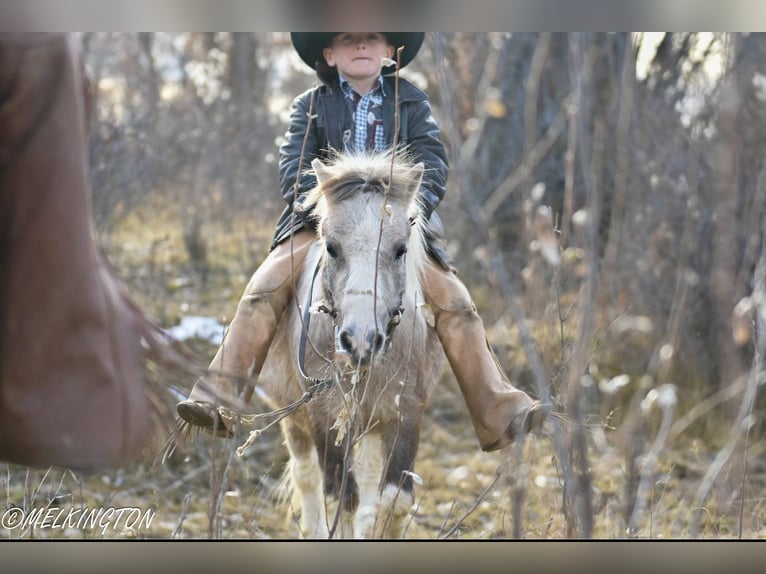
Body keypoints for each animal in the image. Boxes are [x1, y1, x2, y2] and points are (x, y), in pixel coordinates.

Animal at [260, 150, 448, 540]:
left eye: (400, 249)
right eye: (331, 247)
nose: (360, 340)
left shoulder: (404, 414)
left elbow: (392, 501)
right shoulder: (324, 417)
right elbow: (339, 498)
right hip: (295, 420)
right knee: (306, 478)